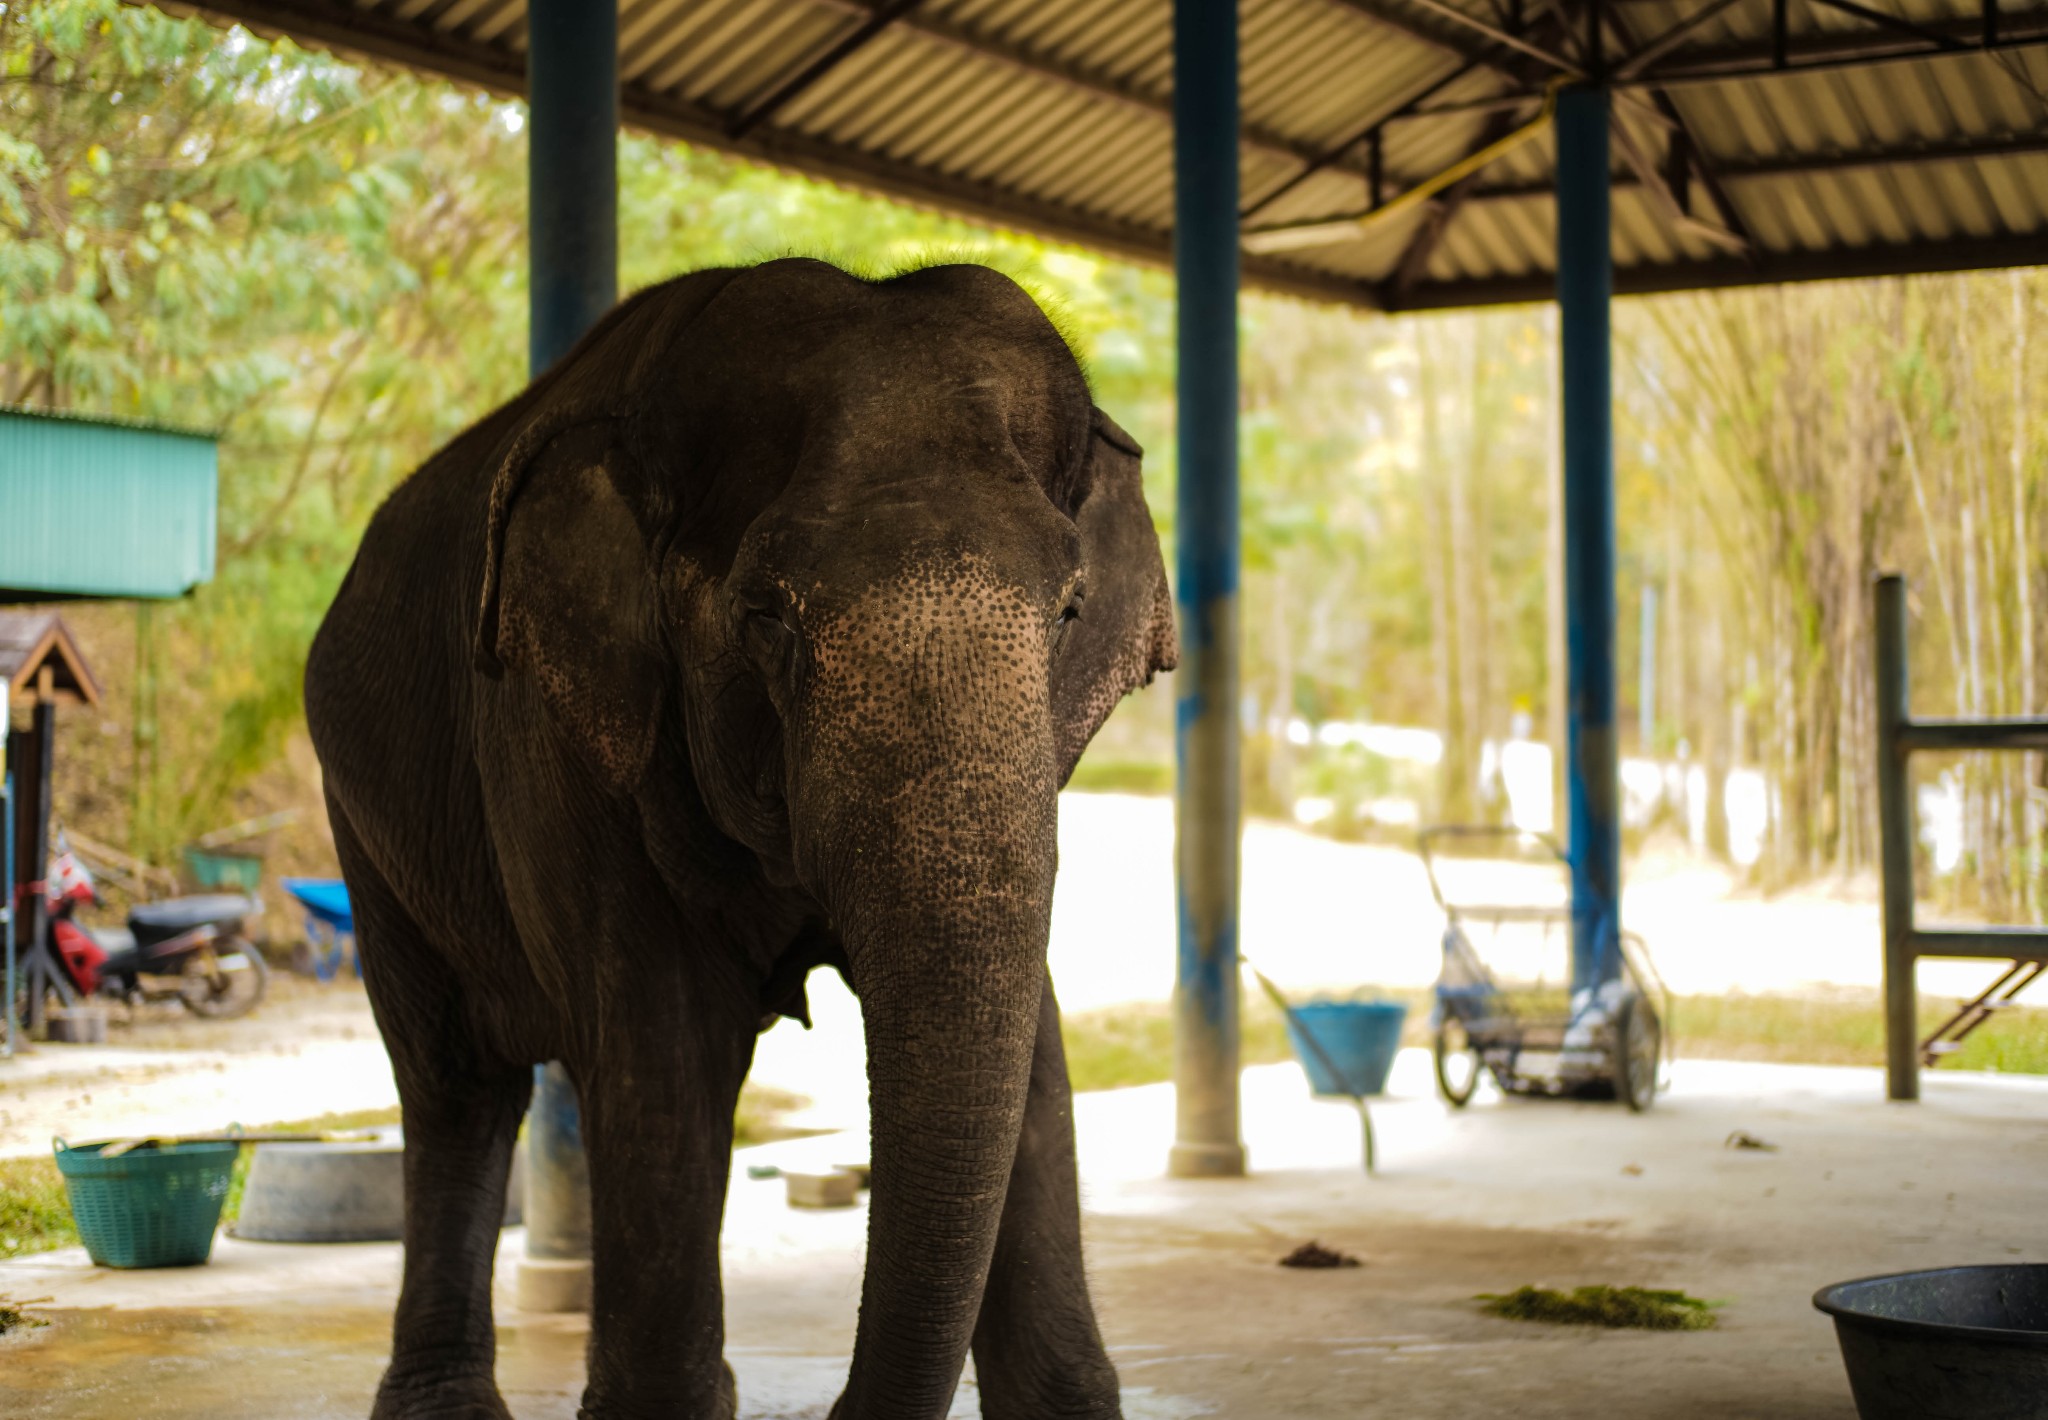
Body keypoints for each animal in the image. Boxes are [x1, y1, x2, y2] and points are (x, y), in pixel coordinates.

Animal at [299, 257, 1179, 1417]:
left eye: (1071, 612)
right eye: (769, 619)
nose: (838, 1404)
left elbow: (1035, 1049)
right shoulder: (556, 735)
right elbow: (662, 1050)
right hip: (365, 832)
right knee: (455, 1087)